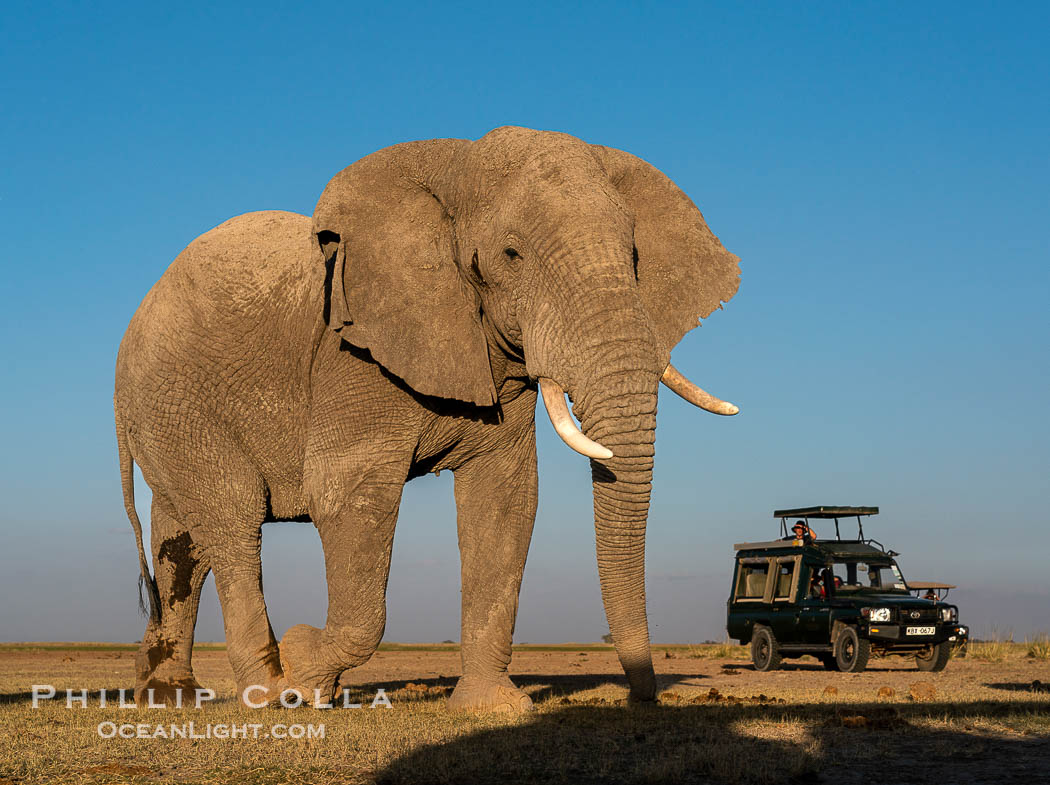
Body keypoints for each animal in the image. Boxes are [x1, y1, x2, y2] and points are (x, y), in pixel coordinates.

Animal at [115, 126, 740, 712]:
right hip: (174, 400)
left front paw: (491, 707)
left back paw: (169, 696)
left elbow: (505, 499)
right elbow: (348, 492)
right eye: (511, 255)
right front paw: (302, 664)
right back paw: (269, 694)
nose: (641, 697)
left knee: (182, 543)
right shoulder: (354, 350)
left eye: (635, 258)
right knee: (232, 519)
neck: (455, 166)